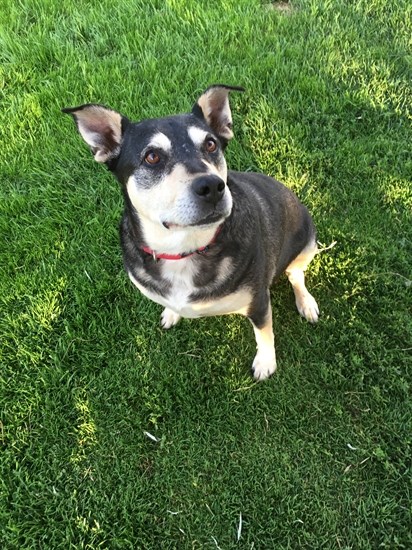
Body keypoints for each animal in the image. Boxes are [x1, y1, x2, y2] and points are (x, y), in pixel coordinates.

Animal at [62, 86, 318, 382]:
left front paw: (266, 362)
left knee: (296, 274)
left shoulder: (259, 303)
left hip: (308, 240)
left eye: (211, 145)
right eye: (152, 156)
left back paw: (306, 302)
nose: (212, 187)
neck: (184, 249)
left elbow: (264, 333)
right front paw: (172, 313)